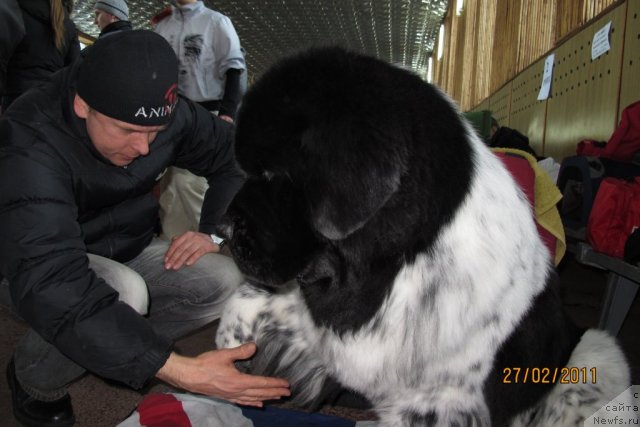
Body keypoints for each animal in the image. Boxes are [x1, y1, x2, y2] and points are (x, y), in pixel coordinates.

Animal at [215, 47, 632, 427]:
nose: (223, 228)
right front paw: (231, 352)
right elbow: (245, 301)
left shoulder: (437, 402)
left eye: (272, 175)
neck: (403, 263)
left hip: (596, 355)